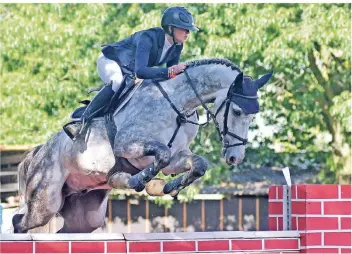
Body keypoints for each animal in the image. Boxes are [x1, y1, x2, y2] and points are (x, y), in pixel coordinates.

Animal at [11, 58, 272, 233]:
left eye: (253, 117)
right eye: (237, 111)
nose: (235, 158)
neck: (177, 106)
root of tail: (37, 153)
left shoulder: (176, 157)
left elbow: (197, 164)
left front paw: (169, 187)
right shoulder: (128, 144)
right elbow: (161, 156)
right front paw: (142, 182)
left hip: (85, 215)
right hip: (45, 202)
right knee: (19, 222)